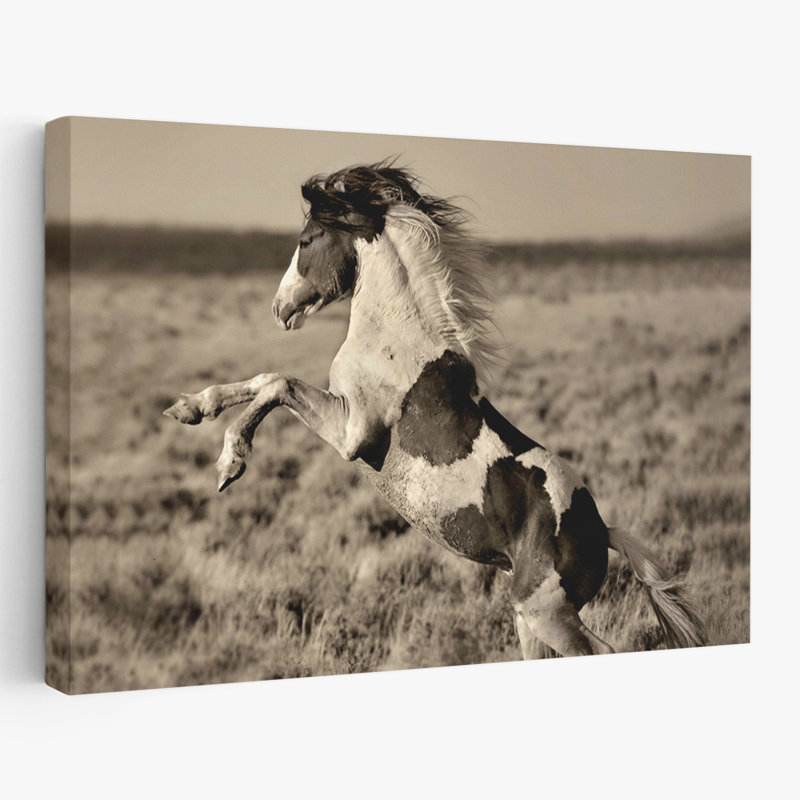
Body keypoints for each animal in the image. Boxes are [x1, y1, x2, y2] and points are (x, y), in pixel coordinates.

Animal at [164, 162, 706, 659]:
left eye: (306, 239)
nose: (280, 309)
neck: (395, 335)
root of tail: (602, 532)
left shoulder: (352, 432)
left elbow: (277, 384)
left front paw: (229, 463)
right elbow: (261, 381)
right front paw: (189, 408)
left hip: (546, 613)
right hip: (528, 620)